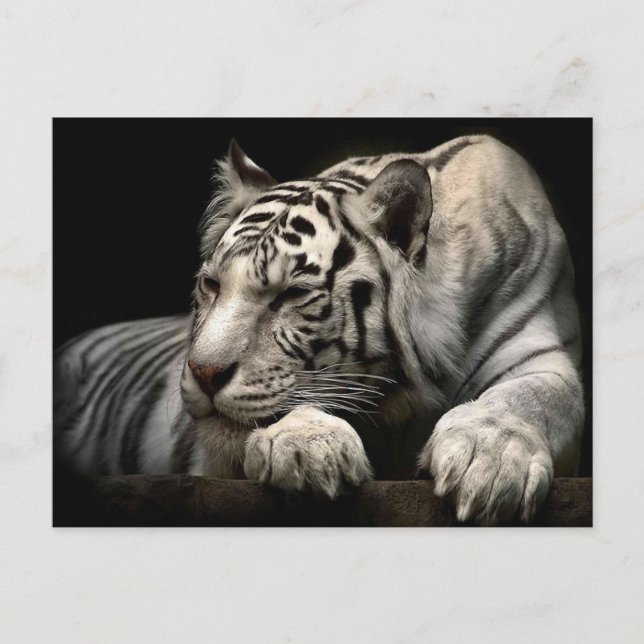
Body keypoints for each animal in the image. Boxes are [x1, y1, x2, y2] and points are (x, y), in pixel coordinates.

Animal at [54, 134, 585, 525]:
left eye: (291, 295)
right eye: (211, 285)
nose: (203, 374)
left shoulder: (539, 353)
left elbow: (529, 398)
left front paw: (489, 462)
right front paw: (307, 449)